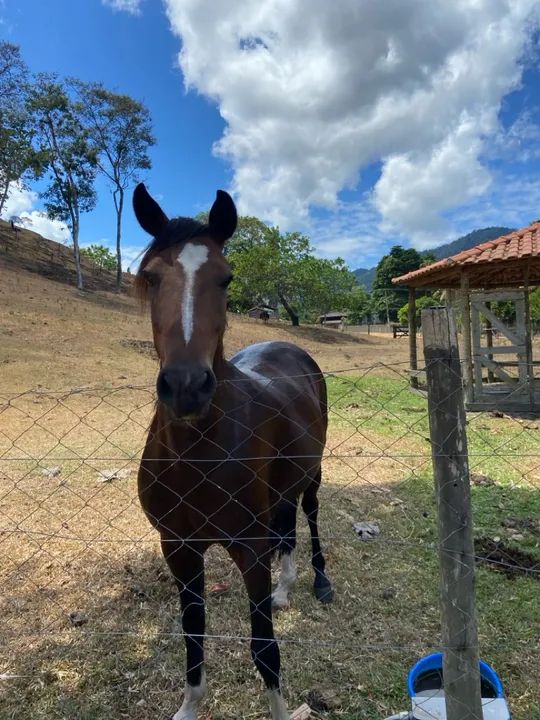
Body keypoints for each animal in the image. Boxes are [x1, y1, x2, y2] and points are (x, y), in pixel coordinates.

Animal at [133, 183, 333, 720]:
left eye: (226, 278)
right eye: (151, 277)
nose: (186, 387)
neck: (196, 455)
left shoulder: (248, 550)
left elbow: (264, 648)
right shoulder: (179, 548)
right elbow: (193, 635)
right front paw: (189, 707)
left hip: (313, 475)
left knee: (308, 517)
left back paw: (319, 583)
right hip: (280, 491)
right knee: (286, 527)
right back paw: (286, 588)